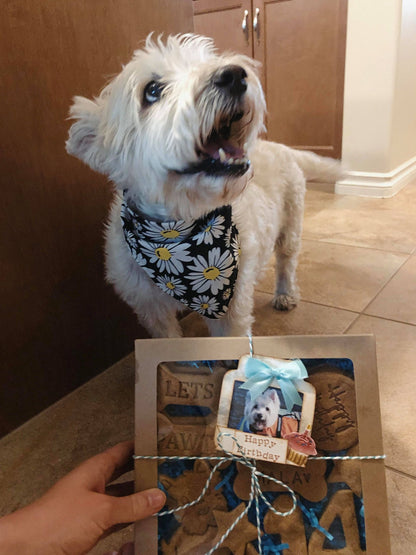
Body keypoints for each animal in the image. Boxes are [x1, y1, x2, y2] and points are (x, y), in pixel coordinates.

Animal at [64, 35, 338, 338]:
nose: (234, 75)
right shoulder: (150, 308)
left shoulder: (231, 307)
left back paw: (286, 294)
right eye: (152, 90)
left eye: (207, 60)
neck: (177, 230)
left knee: (287, 262)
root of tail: (283, 147)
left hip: (290, 224)